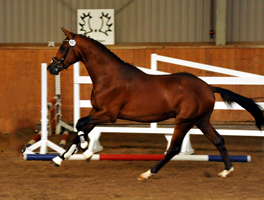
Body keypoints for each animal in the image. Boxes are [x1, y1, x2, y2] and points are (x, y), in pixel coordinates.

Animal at [48, 27, 264, 180]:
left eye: (63, 47)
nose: (51, 68)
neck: (108, 76)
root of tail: (209, 87)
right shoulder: (97, 110)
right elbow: (81, 126)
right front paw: (61, 158)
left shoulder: (109, 114)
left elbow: (80, 124)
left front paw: (86, 151)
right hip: (201, 120)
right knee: (219, 140)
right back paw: (227, 170)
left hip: (184, 121)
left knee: (174, 149)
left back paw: (148, 172)